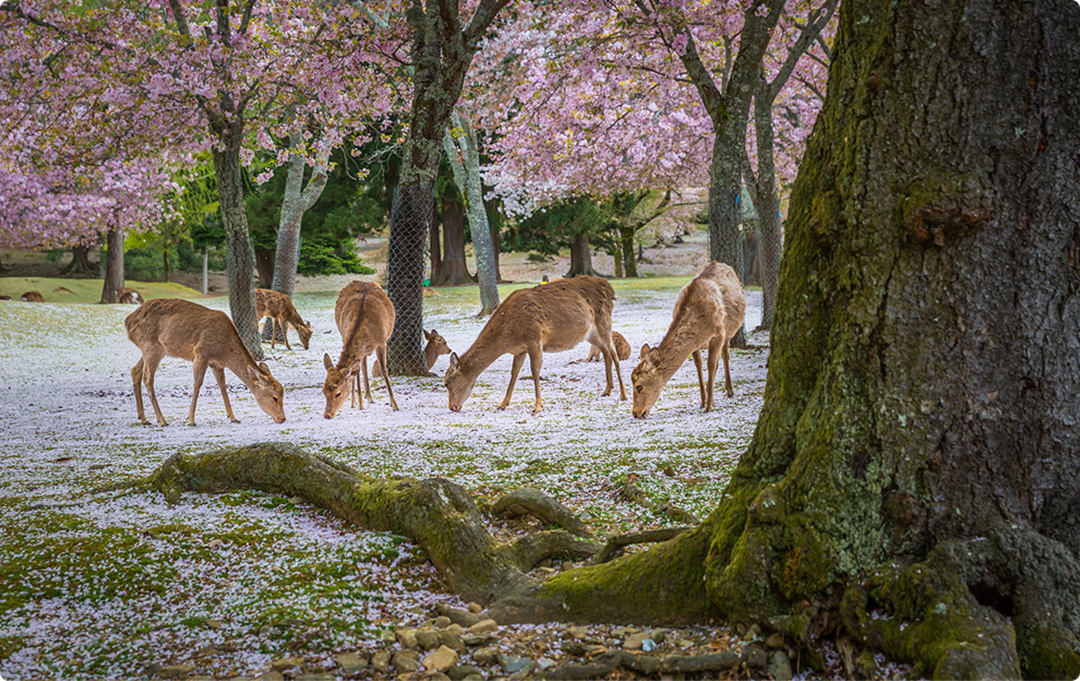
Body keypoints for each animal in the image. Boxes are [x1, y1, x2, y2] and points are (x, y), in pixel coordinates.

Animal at [125, 298, 286, 426]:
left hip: (153, 349)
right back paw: (162, 420)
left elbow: (222, 385)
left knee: (135, 370)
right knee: (147, 377)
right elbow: (197, 384)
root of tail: (128, 322)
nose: (283, 418)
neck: (225, 350)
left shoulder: (216, 363)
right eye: (275, 398)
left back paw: (144, 418)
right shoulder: (201, 354)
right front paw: (191, 420)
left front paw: (233, 417)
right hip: (151, 346)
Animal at [322, 281, 399, 418]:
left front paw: (395, 404)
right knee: (361, 366)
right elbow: (355, 373)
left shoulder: (382, 342)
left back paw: (369, 398)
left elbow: (384, 370)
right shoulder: (345, 336)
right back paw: (359, 400)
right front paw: (359, 403)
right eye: (323, 391)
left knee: (363, 364)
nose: (327, 415)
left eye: (338, 393)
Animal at [444, 276, 627, 414]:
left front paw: (537, 406)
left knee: (614, 354)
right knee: (605, 352)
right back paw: (607, 390)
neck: (507, 335)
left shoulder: (534, 339)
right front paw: (503, 404)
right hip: (590, 334)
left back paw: (623, 394)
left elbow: (535, 371)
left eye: (446, 383)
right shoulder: (519, 350)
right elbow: (514, 373)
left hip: (604, 322)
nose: (452, 406)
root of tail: (609, 289)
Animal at [631, 261, 746, 419]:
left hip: (729, 332)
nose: (635, 413)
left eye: (639, 386)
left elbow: (711, 365)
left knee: (724, 356)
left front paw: (709, 406)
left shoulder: (719, 333)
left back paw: (729, 391)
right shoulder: (695, 344)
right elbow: (699, 365)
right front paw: (703, 401)